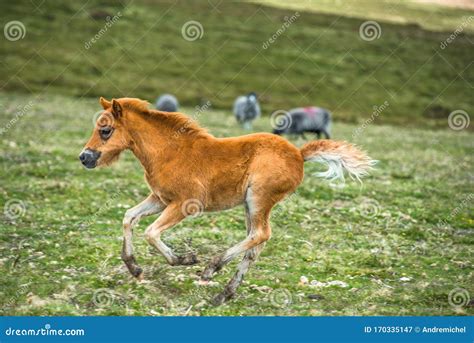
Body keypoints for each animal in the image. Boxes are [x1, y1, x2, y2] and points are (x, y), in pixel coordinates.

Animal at [79, 97, 376, 306]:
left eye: (105, 130)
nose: (84, 157)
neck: (169, 151)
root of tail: (299, 154)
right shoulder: (161, 199)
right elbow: (129, 216)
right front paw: (134, 267)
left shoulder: (187, 203)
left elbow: (151, 233)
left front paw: (184, 259)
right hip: (250, 204)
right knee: (256, 244)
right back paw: (225, 293)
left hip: (258, 198)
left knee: (260, 234)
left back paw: (212, 268)